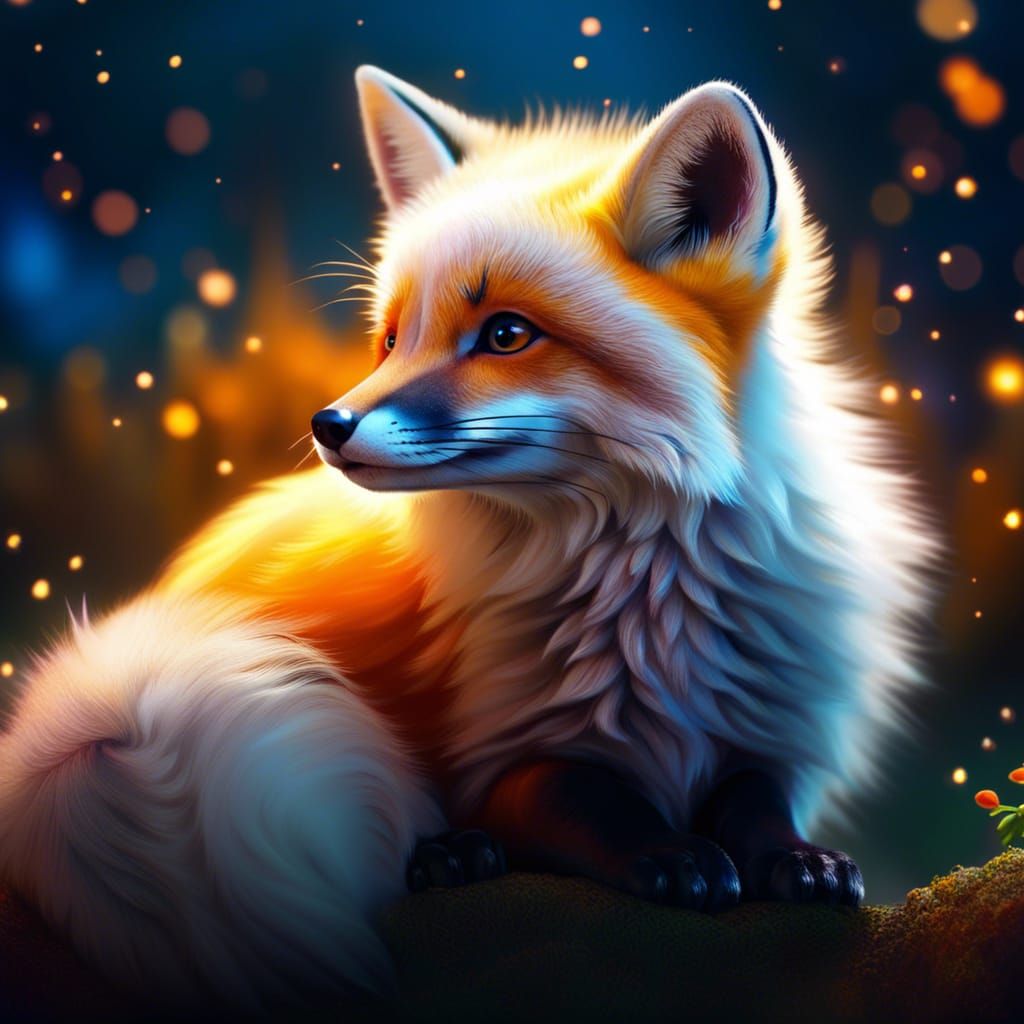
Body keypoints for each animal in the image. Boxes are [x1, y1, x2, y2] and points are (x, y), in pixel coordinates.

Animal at [0, 66, 932, 1010]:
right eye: (390, 338)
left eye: (507, 334)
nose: (328, 426)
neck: (651, 606)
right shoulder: (497, 763)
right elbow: (575, 791)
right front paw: (670, 853)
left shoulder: (770, 731)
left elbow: (755, 797)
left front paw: (798, 859)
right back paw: (449, 858)